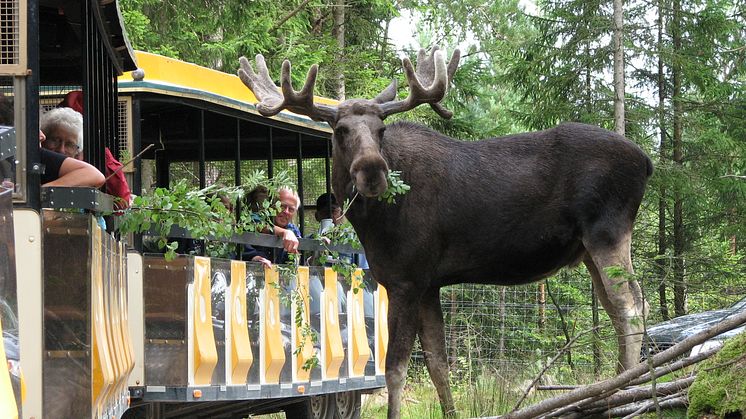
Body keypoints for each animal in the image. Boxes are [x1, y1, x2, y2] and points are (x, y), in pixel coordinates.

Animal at [238, 49, 652, 419]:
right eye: (340, 131)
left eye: (381, 130)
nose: (373, 171)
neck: (372, 221)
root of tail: (647, 162)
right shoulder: (428, 283)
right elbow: (438, 363)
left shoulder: (405, 280)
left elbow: (395, 368)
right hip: (588, 248)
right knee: (619, 310)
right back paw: (614, 388)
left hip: (607, 232)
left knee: (631, 307)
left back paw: (624, 389)